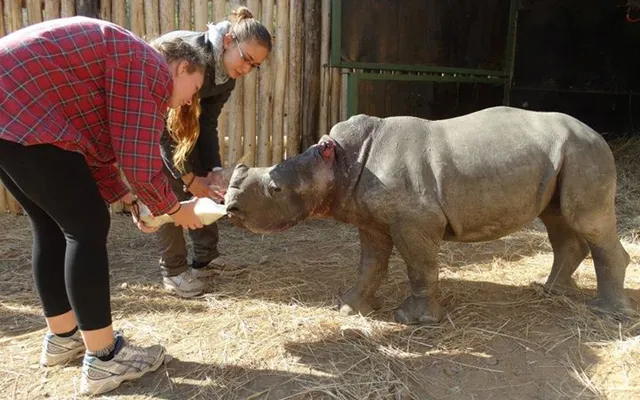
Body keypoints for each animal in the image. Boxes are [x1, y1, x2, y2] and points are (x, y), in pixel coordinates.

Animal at [222, 107, 628, 324]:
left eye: (275, 190)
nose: (230, 208)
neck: (339, 161)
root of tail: (597, 133)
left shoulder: (415, 220)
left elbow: (419, 265)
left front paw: (413, 320)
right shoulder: (372, 220)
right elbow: (371, 264)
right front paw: (350, 307)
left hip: (585, 152)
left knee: (585, 221)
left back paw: (605, 313)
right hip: (566, 156)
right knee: (558, 220)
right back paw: (548, 290)